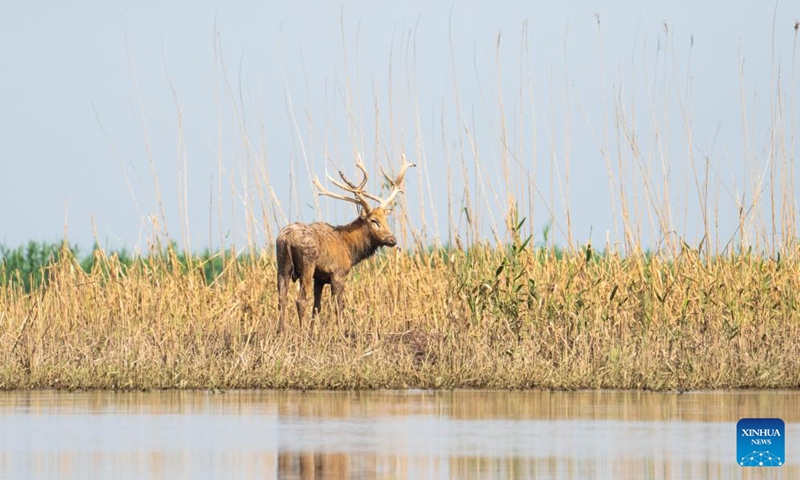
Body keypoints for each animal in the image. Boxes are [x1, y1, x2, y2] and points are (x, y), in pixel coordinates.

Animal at [276, 155, 415, 333]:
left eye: (385, 219)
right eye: (373, 220)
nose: (392, 239)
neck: (350, 249)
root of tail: (287, 238)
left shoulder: (320, 278)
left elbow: (317, 306)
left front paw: (313, 332)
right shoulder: (338, 273)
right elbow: (339, 305)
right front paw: (341, 332)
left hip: (282, 263)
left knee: (282, 298)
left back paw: (281, 332)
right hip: (307, 264)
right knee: (300, 300)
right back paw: (300, 333)